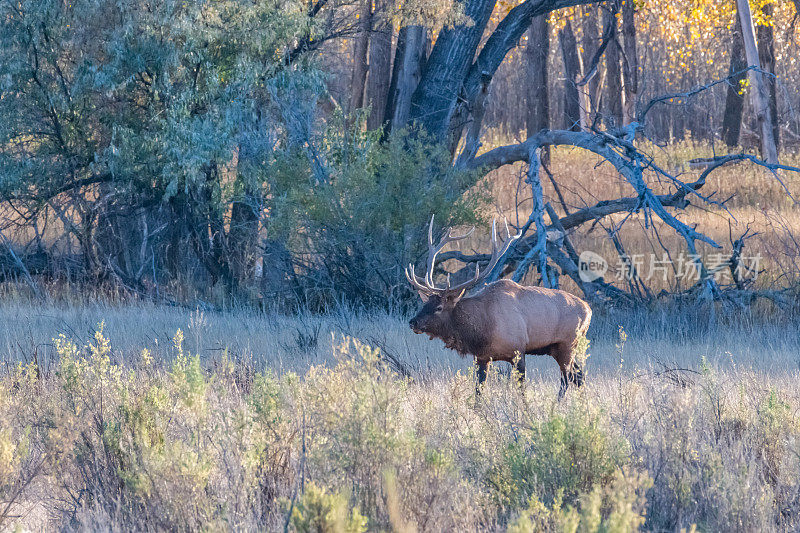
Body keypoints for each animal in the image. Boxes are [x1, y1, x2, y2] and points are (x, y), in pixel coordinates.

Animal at [410, 215, 592, 394]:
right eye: (425, 304)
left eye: (439, 308)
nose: (413, 322)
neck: (483, 329)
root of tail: (589, 309)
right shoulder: (482, 357)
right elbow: (478, 390)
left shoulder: (519, 351)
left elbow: (521, 390)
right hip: (558, 348)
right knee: (579, 377)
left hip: (568, 344)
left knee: (566, 380)